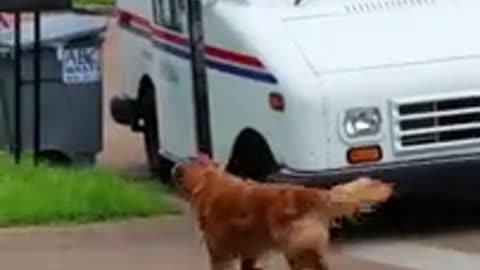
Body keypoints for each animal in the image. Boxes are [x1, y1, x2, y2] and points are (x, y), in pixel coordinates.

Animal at [172, 157, 394, 268]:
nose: (174, 166)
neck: (208, 181)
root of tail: (314, 193)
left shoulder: (220, 254)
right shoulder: (249, 254)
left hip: (298, 250)